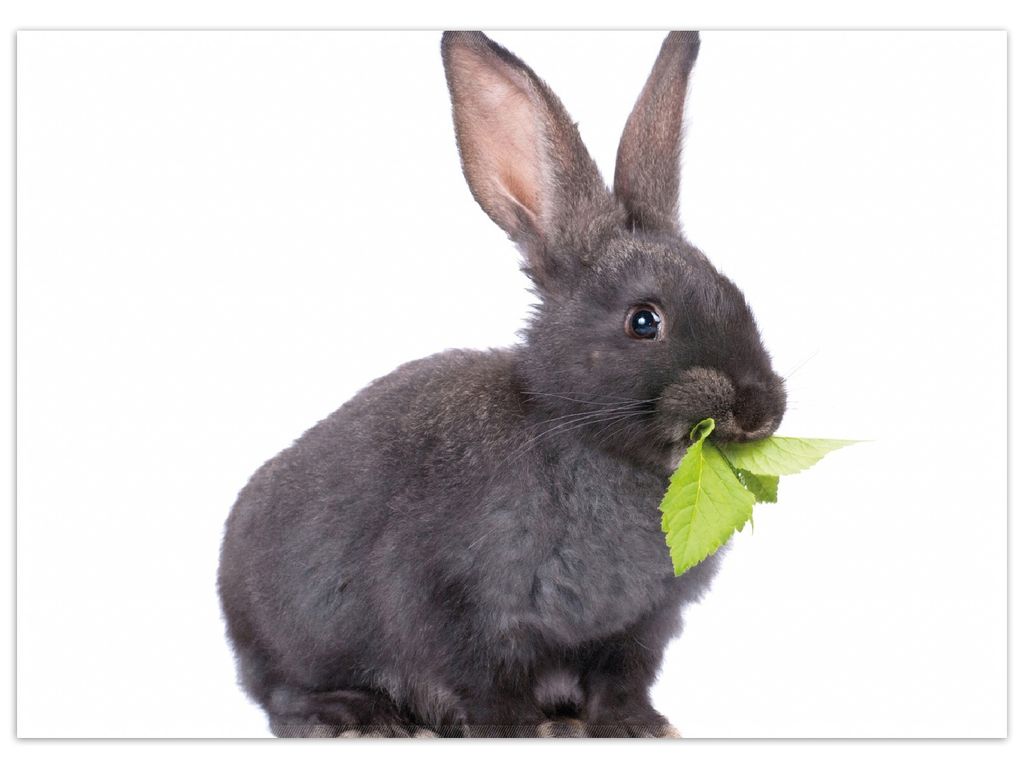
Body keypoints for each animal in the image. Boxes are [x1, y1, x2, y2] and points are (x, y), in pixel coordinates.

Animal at [217, 30, 787, 739]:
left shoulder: (637, 631)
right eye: (644, 321)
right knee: (281, 694)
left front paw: (638, 728)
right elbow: (485, 683)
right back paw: (356, 716)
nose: (760, 411)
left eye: (737, 296)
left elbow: (621, 681)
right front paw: (519, 731)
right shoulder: (454, 607)